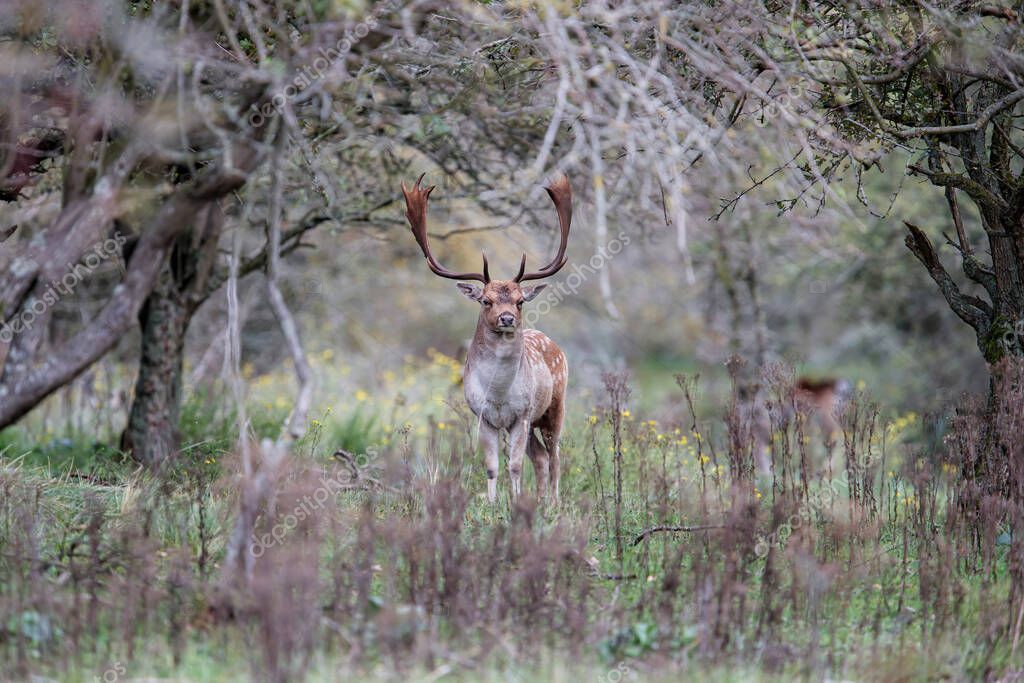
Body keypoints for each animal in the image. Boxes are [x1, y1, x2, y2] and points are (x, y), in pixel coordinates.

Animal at [401, 174, 577, 501]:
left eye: (520, 301)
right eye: (486, 300)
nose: (507, 318)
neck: (498, 392)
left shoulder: (521, 415)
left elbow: (515, 466)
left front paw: (515, 501)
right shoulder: (483, 416)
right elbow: (493, 467)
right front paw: (494, 503)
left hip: (554, 407)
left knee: (555, 455)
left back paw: (553, 501)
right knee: (541, 457)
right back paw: (541, 500)